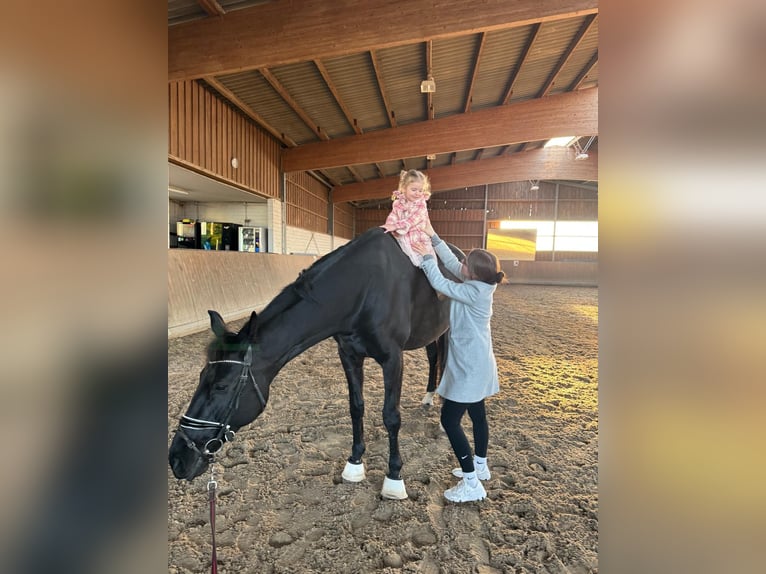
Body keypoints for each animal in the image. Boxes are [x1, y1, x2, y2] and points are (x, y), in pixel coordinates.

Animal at [168, 227, 462, 500]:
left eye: (222, 386)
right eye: (201, 378)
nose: (177, 457)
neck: (363, 289)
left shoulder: (392, 359)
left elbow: (391, 416)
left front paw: (394, 477)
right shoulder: (349, 355)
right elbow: (356, 407)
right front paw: (354, 464)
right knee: (433, 357)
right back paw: (428, 397)